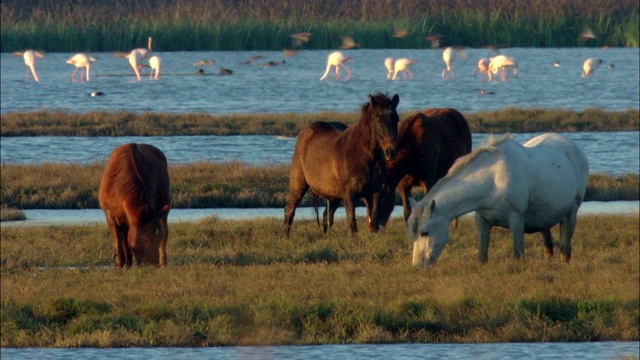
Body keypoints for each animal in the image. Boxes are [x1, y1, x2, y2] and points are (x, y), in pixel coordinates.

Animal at [284, 91, 398, 235]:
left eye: (396, 118)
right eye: (378, 119)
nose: (391, 151)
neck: (364, 155)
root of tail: (305, 131)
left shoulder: (375, 192)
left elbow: (373, 225)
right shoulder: (349, 195)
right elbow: (352, 225)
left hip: (333, 196)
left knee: (326, 218)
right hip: (298, 185)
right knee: (290, 210)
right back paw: (285, 236)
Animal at [408, 133, 588, 268]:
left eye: (424, 232)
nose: (418, 265)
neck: (492, 180)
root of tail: (574, 147)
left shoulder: (516, 220)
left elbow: (518, 255)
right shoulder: (482, 220)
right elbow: (482, 256)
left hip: (571, 212)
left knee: (565, 247)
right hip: (545, 217)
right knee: (548, 244)